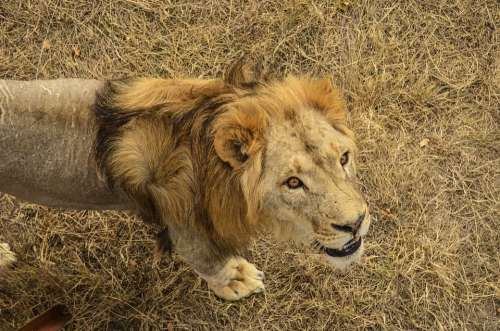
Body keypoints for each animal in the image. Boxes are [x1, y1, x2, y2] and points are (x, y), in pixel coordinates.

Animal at [0, 59, 370, 300]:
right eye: (293, 182)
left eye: (344, 158)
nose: (355, 223)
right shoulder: (186, 233)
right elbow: (212, 265)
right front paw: (236, 281)